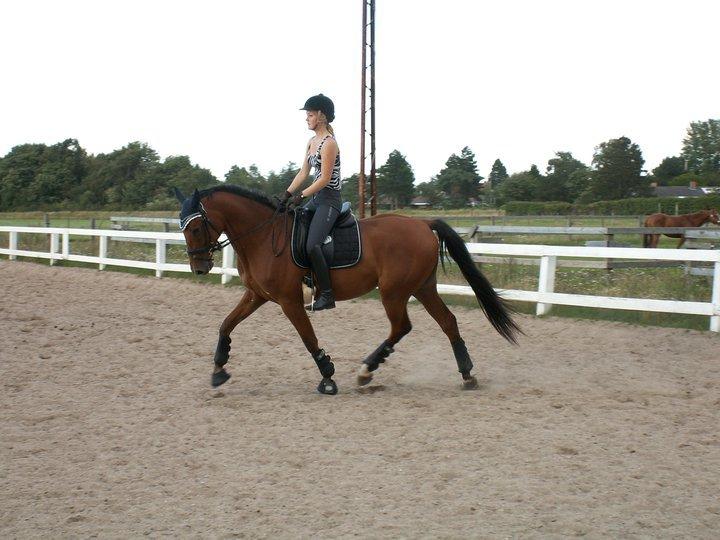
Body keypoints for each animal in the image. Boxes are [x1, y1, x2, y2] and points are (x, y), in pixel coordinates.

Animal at [174, 188, 524, 394]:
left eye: (196, 227)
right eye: (182, 227)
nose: (199, 267)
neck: (263, 236)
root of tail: (423, 224)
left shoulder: (289, 300)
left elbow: (308, 338)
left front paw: (328, 377)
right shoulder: (257, 295)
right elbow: (226, 324)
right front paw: (218, 369)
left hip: (393, 291)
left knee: (401, 326)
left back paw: (367, 370)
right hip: (422, 287)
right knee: (448, 322)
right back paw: (466, 374)